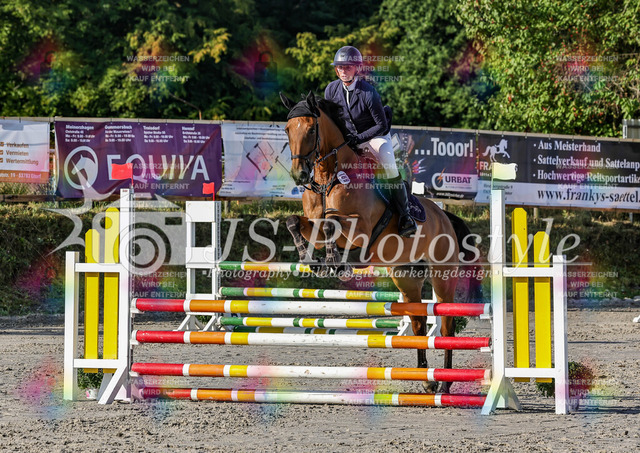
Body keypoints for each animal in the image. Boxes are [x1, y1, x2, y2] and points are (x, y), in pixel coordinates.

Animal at [280, 91, 475, 393]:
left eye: (312, 129)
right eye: (288, 129)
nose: (300, 175)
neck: (327, 178)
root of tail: (444, 215)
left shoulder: (360, 228)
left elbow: (331, 223)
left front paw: (335, 262)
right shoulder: (313, 223)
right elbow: (295, 222)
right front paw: (309, 258)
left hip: (443, 277)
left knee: (445, 325)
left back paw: (444, 385)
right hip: (406, 277)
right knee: (418, 323)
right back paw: (427, 381)